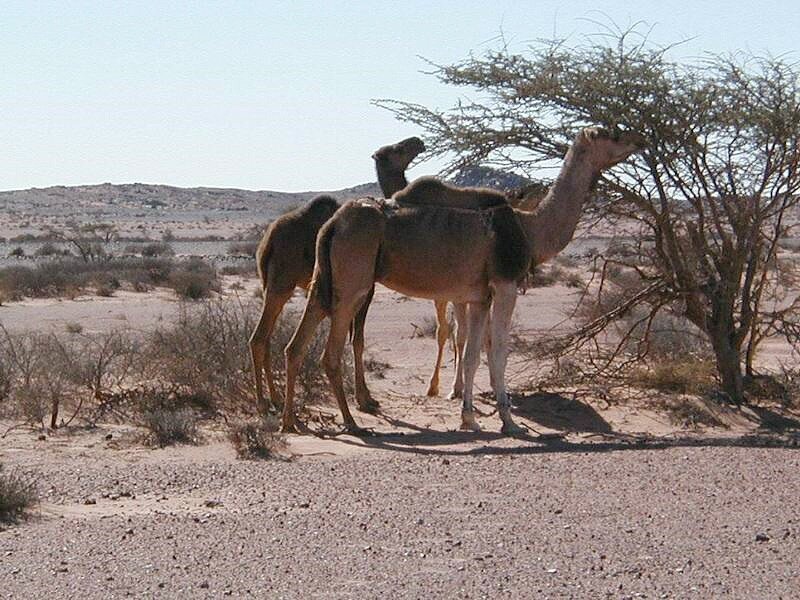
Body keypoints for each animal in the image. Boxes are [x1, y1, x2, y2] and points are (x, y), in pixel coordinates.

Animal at [248, 135, 424, 412]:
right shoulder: (367, 289)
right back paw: (264, 403)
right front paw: (365, 399)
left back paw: (274, 400)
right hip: (281, 282)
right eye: (397, 149)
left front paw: (364, 397)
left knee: (264, 337)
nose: (418, 142)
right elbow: (358, 340)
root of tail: (267, 242)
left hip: (272, 283)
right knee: (259, 338)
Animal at [282, 127, 644, 436]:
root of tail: (332, 225)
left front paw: (469, 418)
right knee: (330, 354)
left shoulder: (479, 295)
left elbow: (471, 355)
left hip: (324, 282)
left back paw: (292, 422)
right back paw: (352, 423)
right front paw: (509, 422)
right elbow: (498, 351)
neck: (530, 230)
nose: (637, 139)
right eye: (612, 134)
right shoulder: (506, 285)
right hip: (352, 283)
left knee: (295, 345)